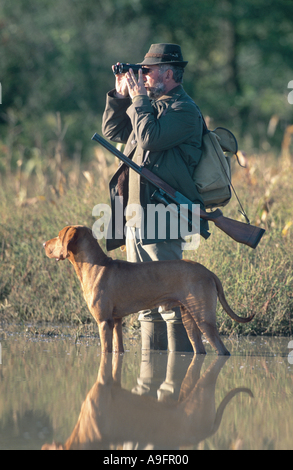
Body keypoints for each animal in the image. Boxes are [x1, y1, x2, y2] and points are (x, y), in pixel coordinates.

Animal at [42, 226, 253, 354]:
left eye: (58, 236)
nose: (43, 244)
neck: (94, 265)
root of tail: (209, 272)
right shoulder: (116, 321)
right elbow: (118, 349)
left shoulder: (103, 322)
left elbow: (105, 351)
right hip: (190, 320)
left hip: (204, 319)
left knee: (222, 350)